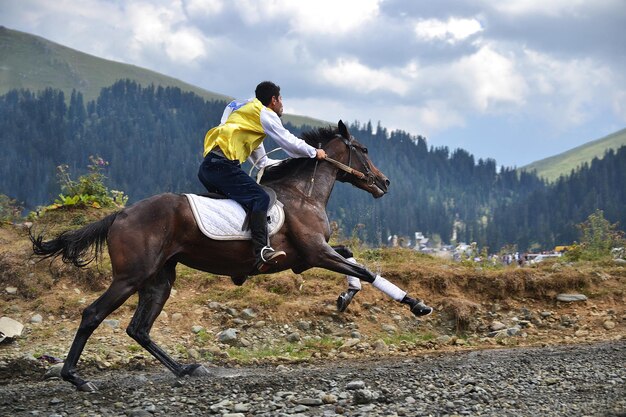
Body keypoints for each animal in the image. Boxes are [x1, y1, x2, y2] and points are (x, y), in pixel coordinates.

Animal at [31, 119, 432, 390]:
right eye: (363, 150)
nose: (384, 182)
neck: (303, 193)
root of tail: (120, 214)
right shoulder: (316, 253)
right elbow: (365, 269)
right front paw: (416, 304)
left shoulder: (305, 258)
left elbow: (351, 259)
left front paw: (347, 295)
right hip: (130, 277)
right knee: (93, 314)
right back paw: (75, 377)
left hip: (159, 279)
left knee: (139, 329)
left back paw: (185, 369)